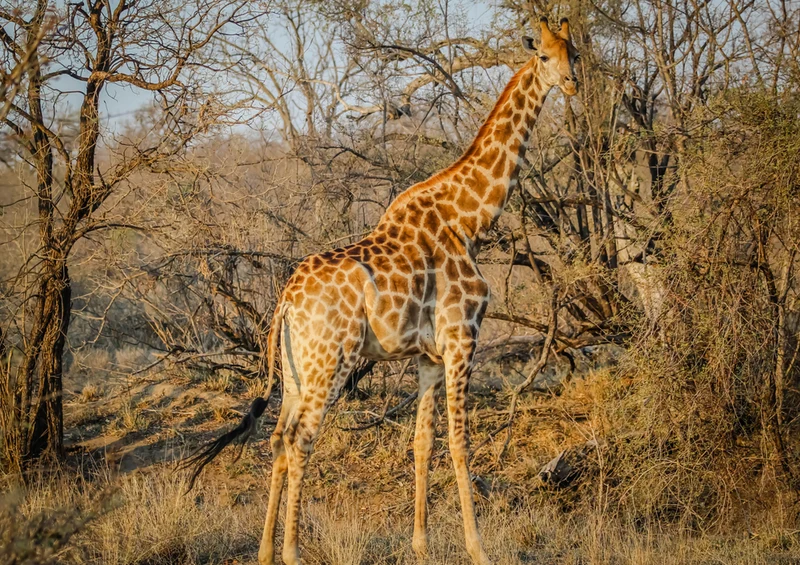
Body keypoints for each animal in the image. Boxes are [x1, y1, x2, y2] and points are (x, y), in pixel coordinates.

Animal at [183, 17, 579, 565]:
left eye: (574, 53)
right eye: (542, 55)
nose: (571, 84)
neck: (470, 220)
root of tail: (285, 300)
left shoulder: (429, 357)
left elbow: (422, 442)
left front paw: (421, 544)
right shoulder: (462, 340)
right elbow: (460, 442)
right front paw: (477, 548)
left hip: (296, 368)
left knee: (279, 439)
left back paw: (264, 551)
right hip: (332, 361)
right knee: (302, 440)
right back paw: (292, 552)